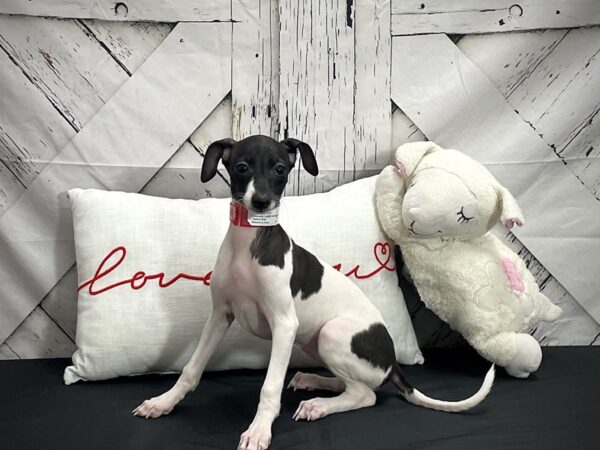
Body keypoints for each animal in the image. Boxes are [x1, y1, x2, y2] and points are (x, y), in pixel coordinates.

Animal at [134, 136, 494, 450]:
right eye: (241, 167)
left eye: (280, 169)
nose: (261, 201)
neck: (248, 246)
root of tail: (392, 363)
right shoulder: (220, 315)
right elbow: (191, 369)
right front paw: (163, 402)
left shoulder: (284, 325)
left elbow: (269, 386)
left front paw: (259, 431)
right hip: (314, 341)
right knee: (356, 383)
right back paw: (315, 382)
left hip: (332, 334)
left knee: (366, 393)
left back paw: (318, 405)